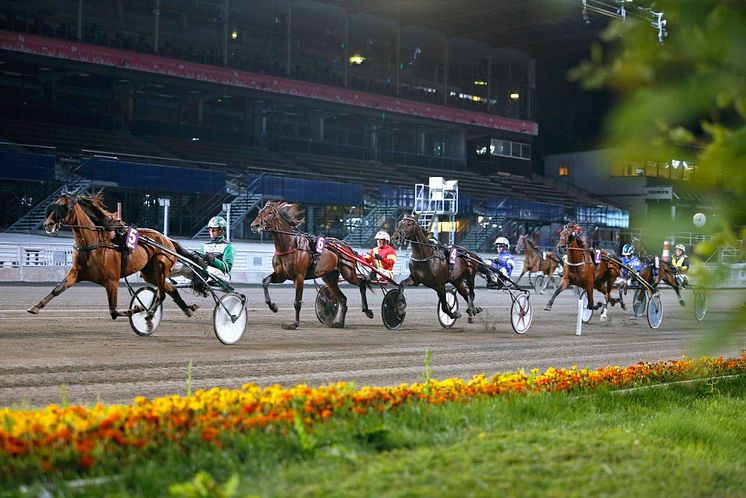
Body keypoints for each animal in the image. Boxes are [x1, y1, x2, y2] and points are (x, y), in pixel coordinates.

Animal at [26, 193, 198, 324]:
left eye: (65, 207)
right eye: (52, 206)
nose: (48, 224)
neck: (93, 245)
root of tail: (167, 240)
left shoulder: (112, 281)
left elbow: (113, 311)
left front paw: (137, 308)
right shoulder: (76, 273)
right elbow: (57, 289)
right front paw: (35, 307)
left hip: (161, 267)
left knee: (161, 294)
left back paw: (150, 313)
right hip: (149, 274)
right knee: (172, 290)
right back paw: (188, 309)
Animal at [250, 200, 372, 328]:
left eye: (269, 212)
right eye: (259, 211)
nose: (254, 226)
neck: (290, 246)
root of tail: (345, 245)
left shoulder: (299, 278)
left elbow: (297, 302)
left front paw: (295, 323)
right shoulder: (281, 276)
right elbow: (265, 282)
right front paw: (273, 306)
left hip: (348, 273)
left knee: (362, 283)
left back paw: (367, 310)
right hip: (329, 278)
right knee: (343, 299)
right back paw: (339, 323)